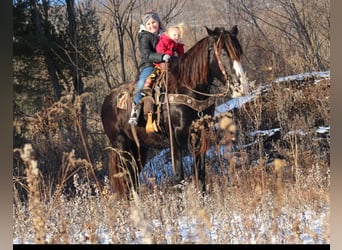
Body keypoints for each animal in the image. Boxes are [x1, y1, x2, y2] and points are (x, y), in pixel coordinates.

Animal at [101, 25, 248, 197]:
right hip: (121, 146)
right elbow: (179, 177)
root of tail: (107, 100)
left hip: (140, 148)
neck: (187, 88)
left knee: (134, 177)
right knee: (128, 177)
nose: (241, 86)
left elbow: (200, 173)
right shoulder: (175, 141)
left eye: (239, 51)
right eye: (224, 53)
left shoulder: (199, 137)